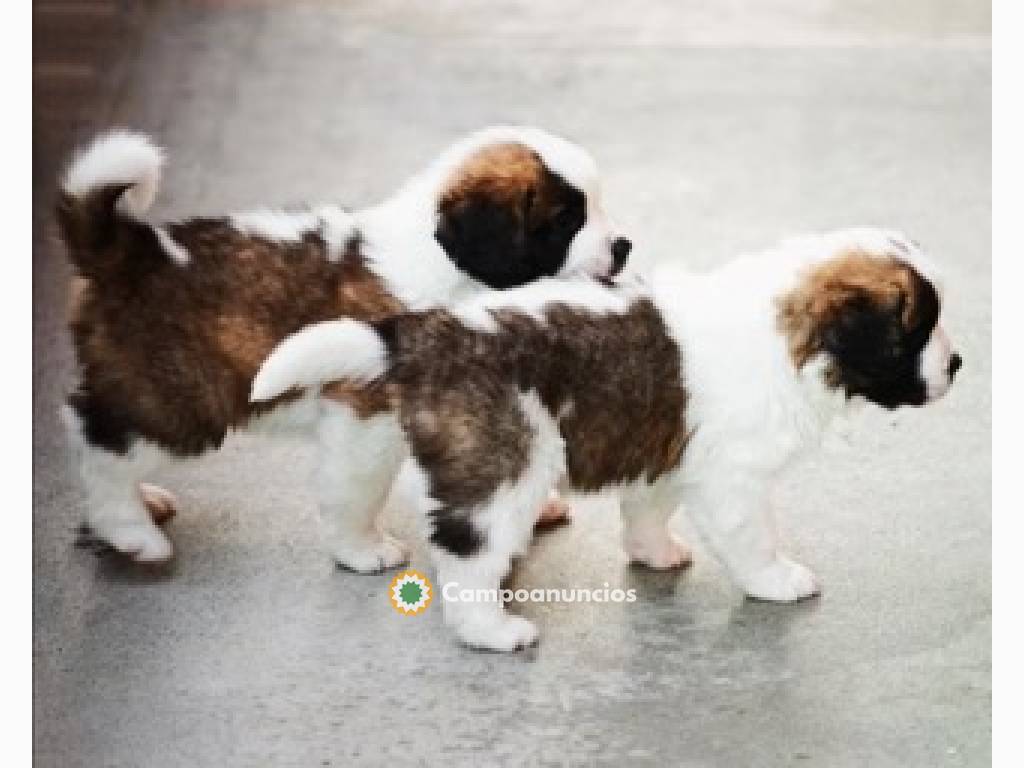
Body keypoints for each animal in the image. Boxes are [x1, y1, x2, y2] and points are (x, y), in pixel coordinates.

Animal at [59, 126, 630, 569]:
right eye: (565, 222)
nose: (624, 247)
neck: (447, 267)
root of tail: (132, 249)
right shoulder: (364, 413)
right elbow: (358, 487)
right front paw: (361, 549)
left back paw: (142, 504)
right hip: (179, 398)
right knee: (100, 437)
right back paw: (130, 530)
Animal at [251, 227, 962, 651]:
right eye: (918, 328)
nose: (956, 365)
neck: (793, 342)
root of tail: (426, 333)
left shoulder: (669, 450)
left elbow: (648, 507)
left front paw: (653, 552)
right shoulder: (733, 479)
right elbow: (752, 537)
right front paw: (776, 580)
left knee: (349, 497)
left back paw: (362, 549)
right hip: (504, 466)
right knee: (467, 552)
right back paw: (491, 629)